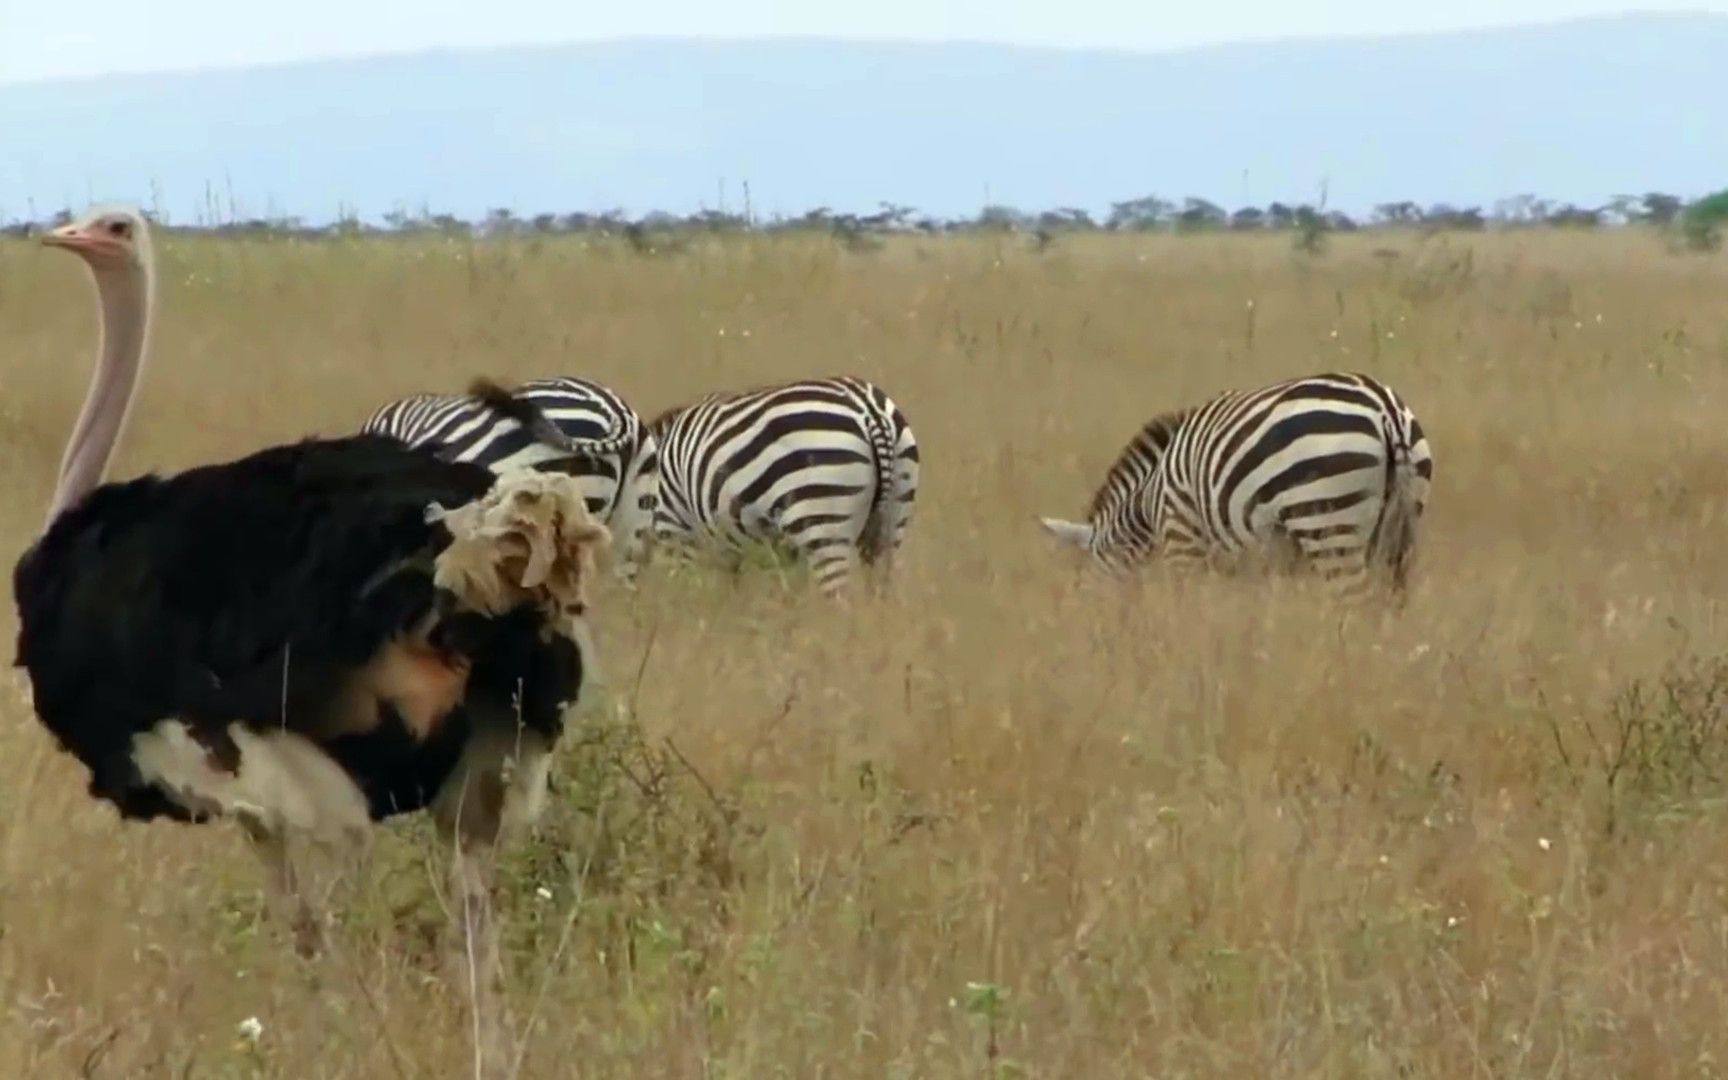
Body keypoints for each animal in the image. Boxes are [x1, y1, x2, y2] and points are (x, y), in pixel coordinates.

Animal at [646, 376, 919, 597]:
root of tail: (869, 410)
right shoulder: (772, 550)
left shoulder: (677, 529)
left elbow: (691, 587)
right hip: (893, 519)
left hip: (822, 520)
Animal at [1036, 368, 1430, 590]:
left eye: (1089, 574)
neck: (1151, 496)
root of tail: (1386, 411)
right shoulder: (1269, 559)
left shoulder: (1183, 538)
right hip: (1399, 528)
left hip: (1328, 521)